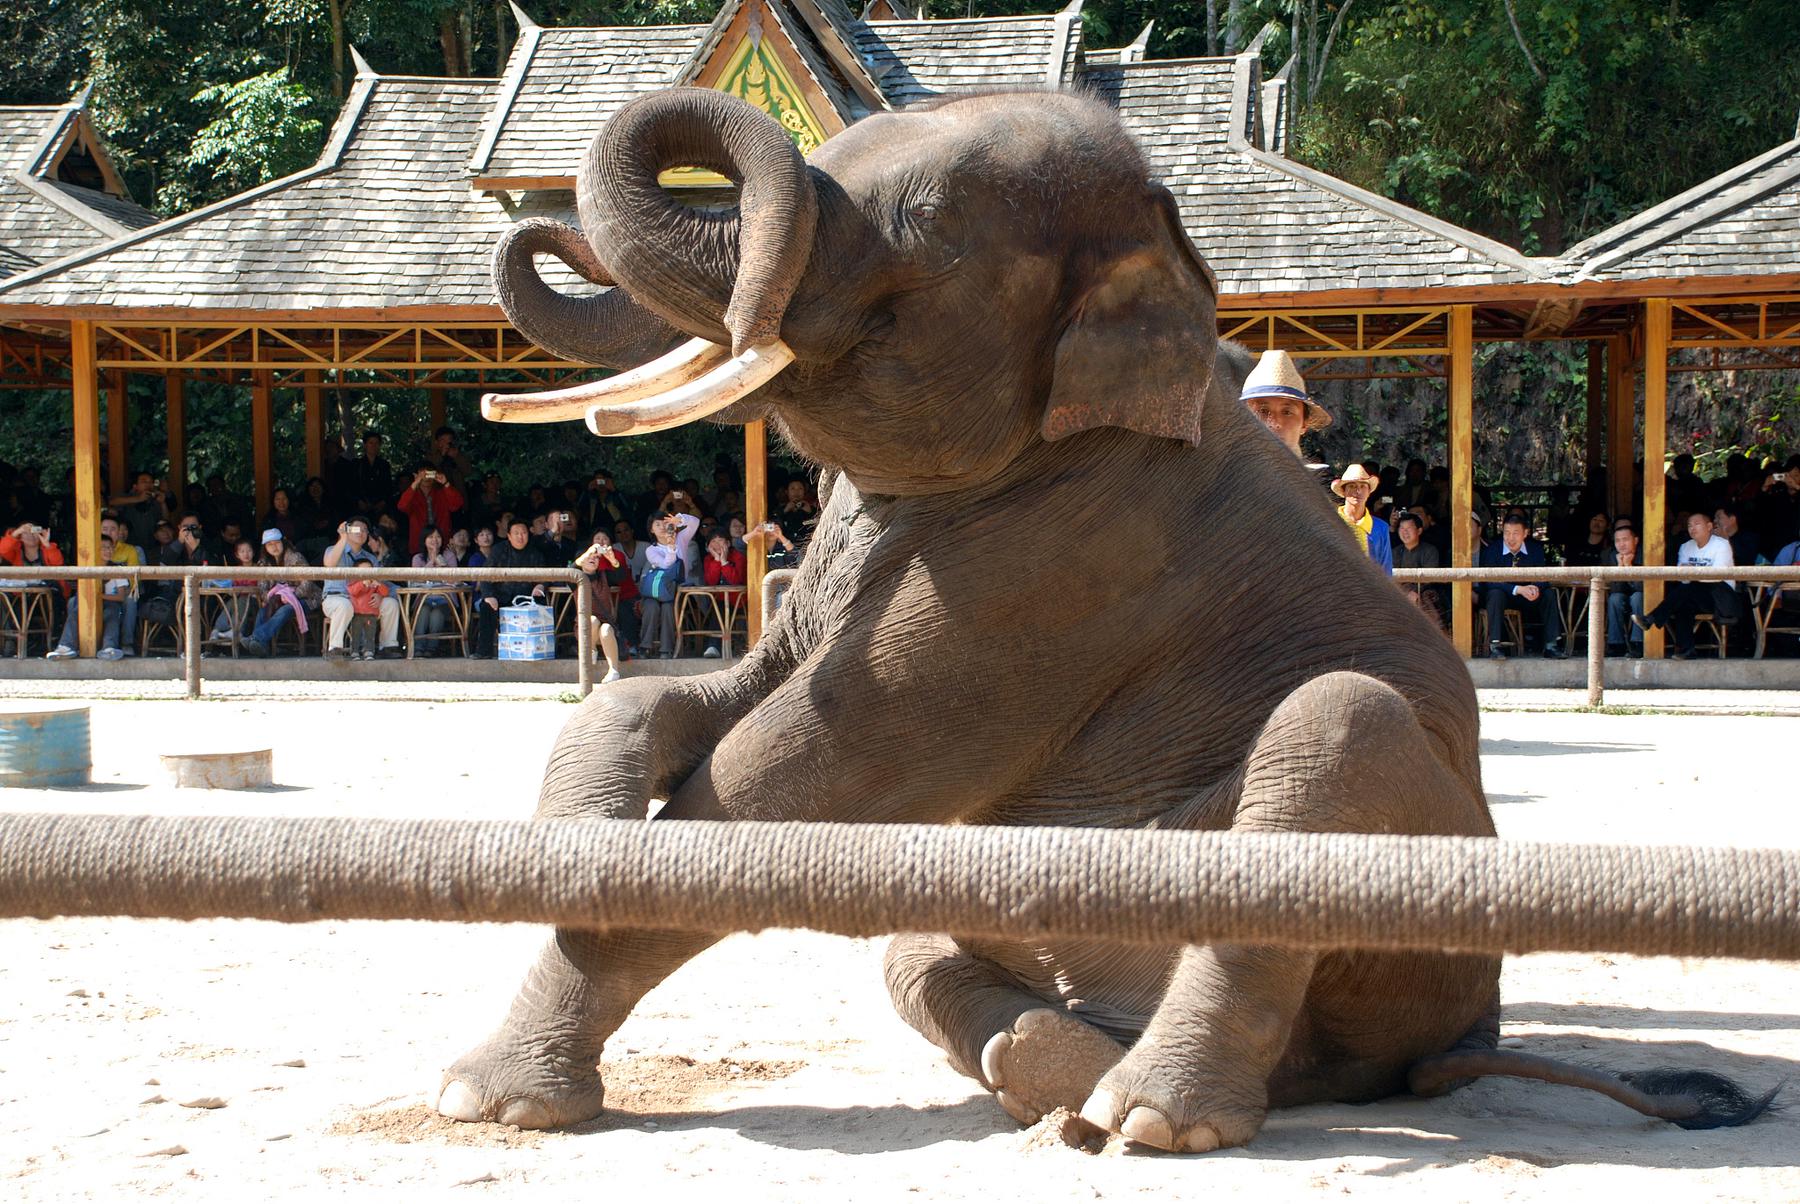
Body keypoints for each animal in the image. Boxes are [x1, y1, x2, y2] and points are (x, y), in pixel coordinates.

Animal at [439, 86, 1771, 1144]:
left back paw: (1146, 1115)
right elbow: (698, 697)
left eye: (927, 232)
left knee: (1333, 726)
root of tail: (1460, 1042)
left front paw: (487, 1099)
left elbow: (799, 772)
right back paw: (1058, 1078)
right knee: (916, 945)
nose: (531, 218)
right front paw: (572, 840)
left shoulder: (1065, 566)